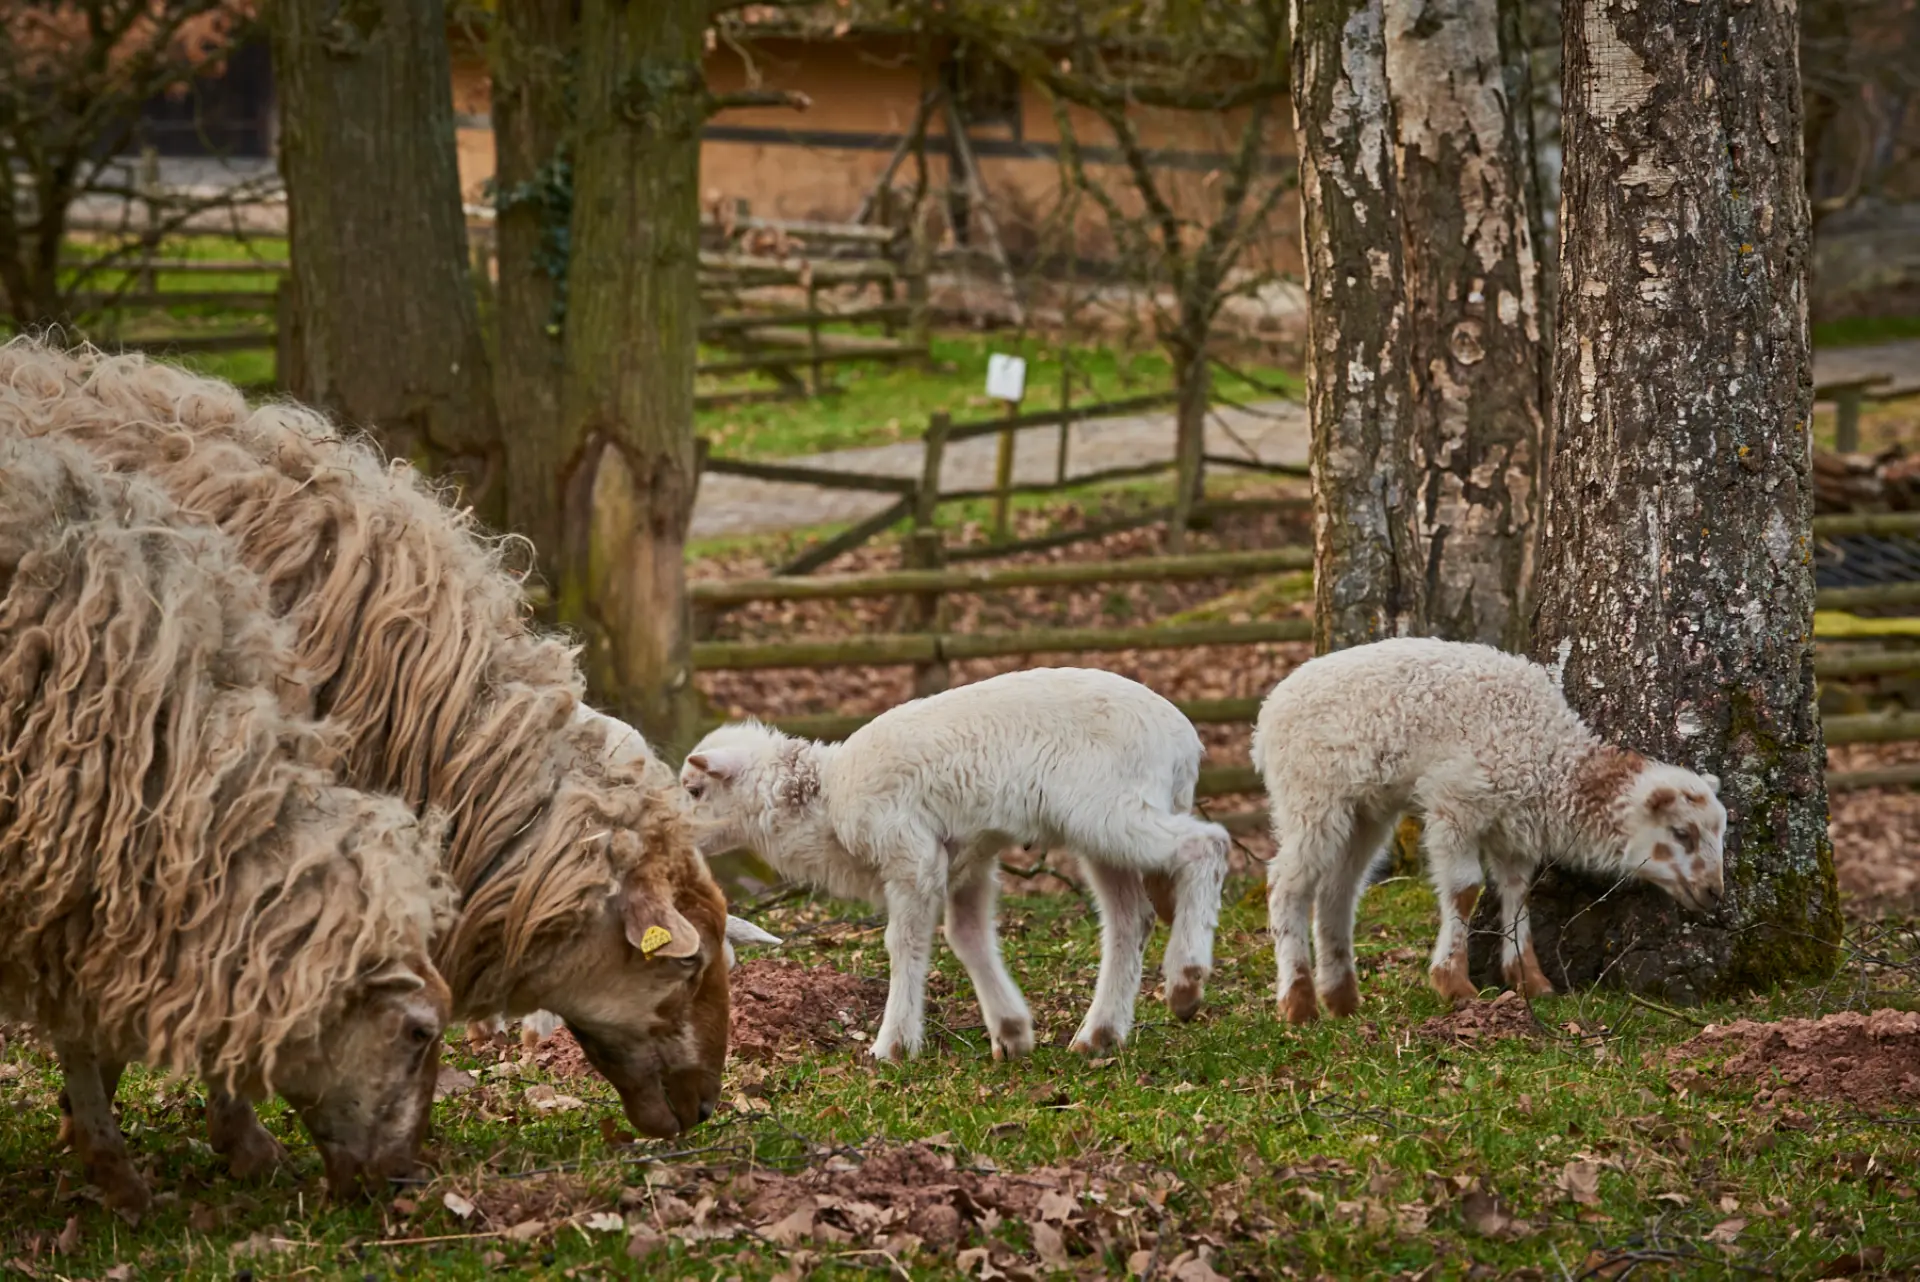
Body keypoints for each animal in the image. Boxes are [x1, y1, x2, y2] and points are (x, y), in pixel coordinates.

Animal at [679, 667, 1232, 1061]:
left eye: (694, 791)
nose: (672, 834)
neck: (825, 803)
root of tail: (1185, 742)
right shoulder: (969, 861)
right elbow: (967, 937)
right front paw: (1011, 1032)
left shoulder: (910, 852)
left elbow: (902, 943)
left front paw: (892, 1046)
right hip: (1103, 830)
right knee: (1130, 919)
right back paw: (1099, 1034)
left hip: (1110, 811)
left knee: (1208, 845)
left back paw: (1185, 982)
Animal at [1252, 637, 1728, 1024]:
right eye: (1682, 833)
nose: (1714, 892)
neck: (1549, 758)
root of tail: (1269, 709)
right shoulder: (1455, 803)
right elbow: (1465, 889)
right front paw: (1454, 984)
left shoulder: (1513, 826)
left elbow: (1517, 892)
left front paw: (1530, 980)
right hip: (1311, 796)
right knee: (1287, 884)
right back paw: (1299, 1003)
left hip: (1365, 810)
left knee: (1338, 890)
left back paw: (1342, 1000)